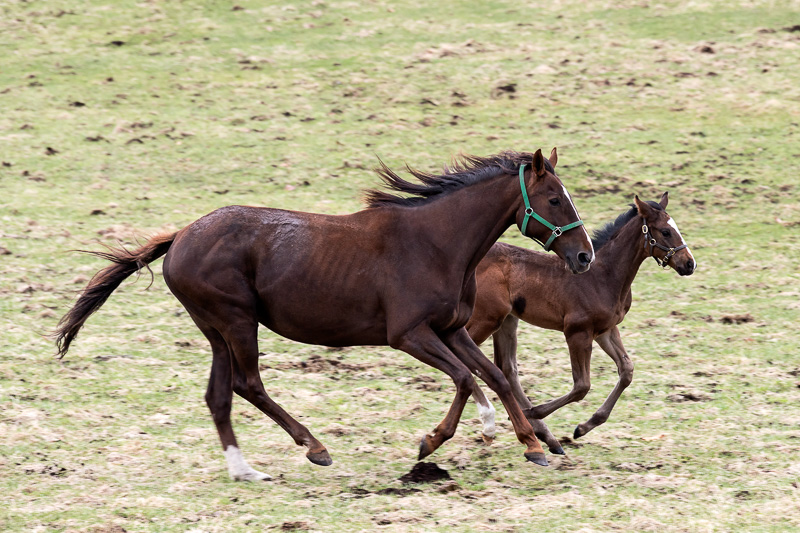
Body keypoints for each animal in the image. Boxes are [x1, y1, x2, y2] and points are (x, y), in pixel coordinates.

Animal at [55, 148, 594, 481]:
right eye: (554, 198)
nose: (585, 256)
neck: (436, 243)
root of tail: (181, 236)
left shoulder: (451, 329)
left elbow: (496, 377)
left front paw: (533, 445)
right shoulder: (409, 334)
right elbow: (466, 379)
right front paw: (434, 441)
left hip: (215, 331)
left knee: (219, 394)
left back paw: (245, 470)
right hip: (236, 321)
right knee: (247, 384)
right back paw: (314, 447)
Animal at [467, 193, 695, 451]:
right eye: (665, 231)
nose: (689, 264)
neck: (603, 276)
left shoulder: (606, 330)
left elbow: (626, 370)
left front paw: (585, 426)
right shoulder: (578, 332)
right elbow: (582, 386)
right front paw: (536, 412)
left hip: (506, 321)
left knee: (506, 368)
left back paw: (544, 435)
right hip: (485, 319)